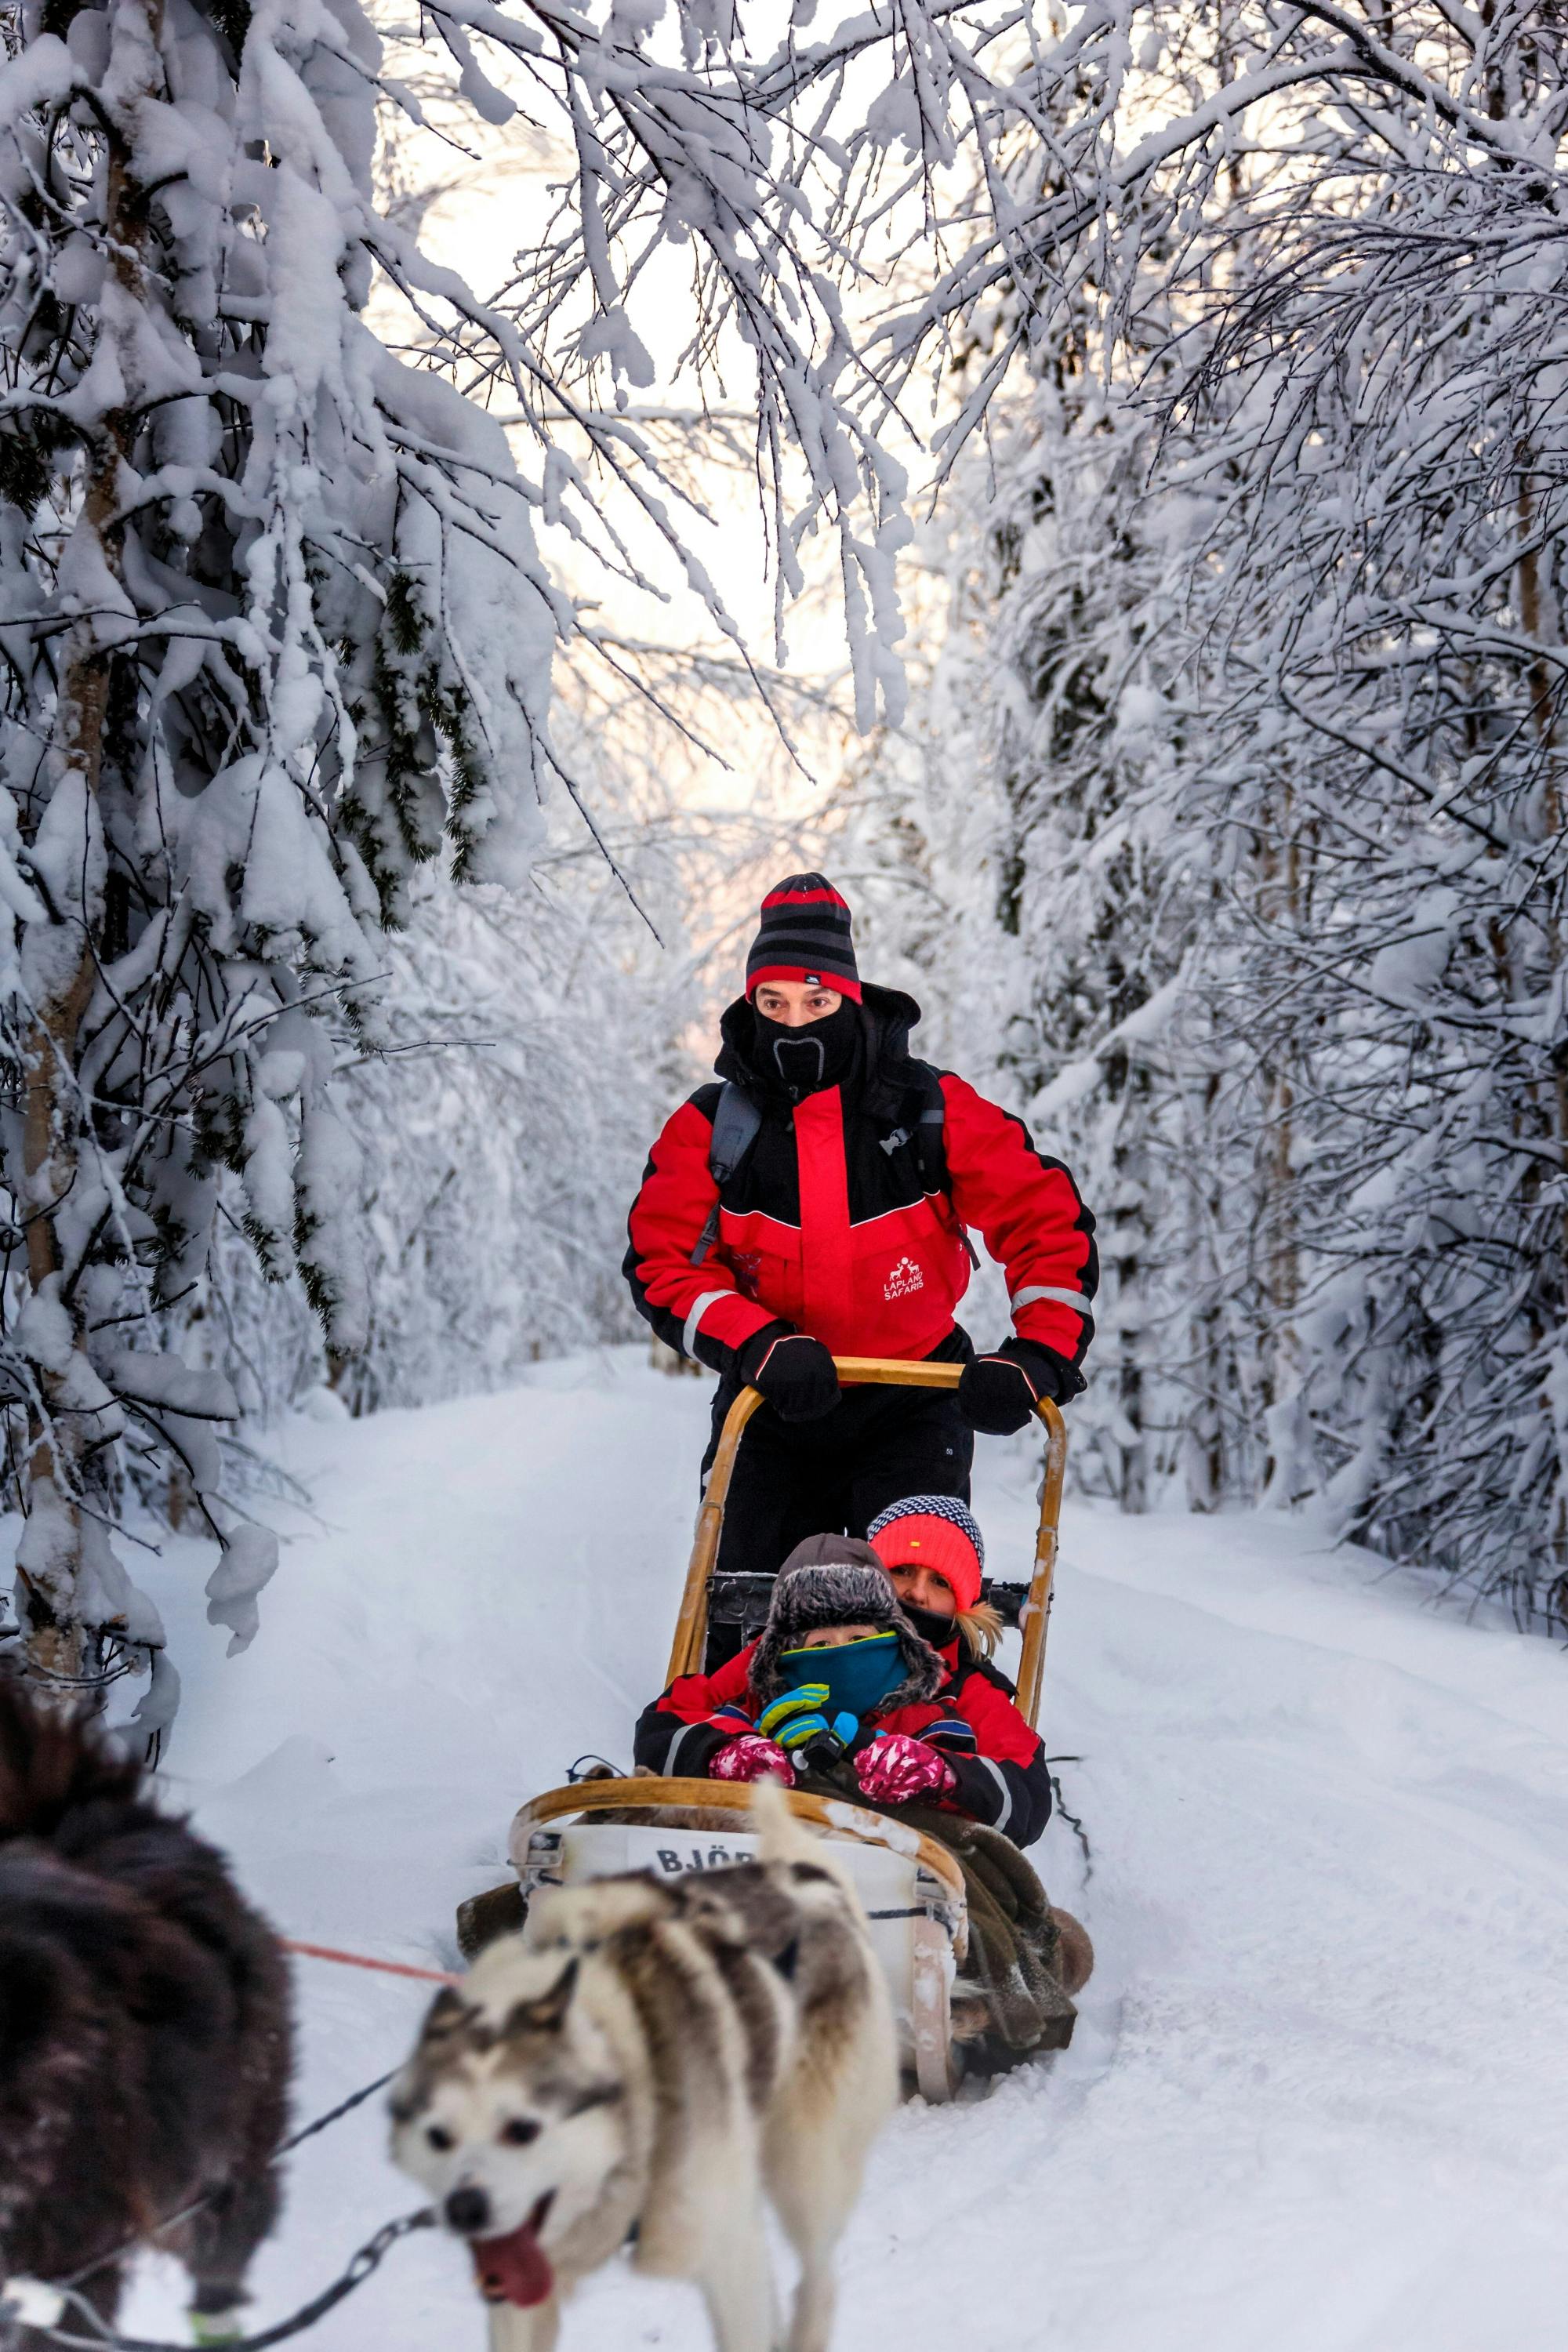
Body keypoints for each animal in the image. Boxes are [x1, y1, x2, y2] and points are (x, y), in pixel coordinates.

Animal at [394, 1778, 893, 2352]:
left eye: (523, 2128)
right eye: (438, 2136)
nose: (465, 2211)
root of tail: (812, 1880)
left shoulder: (724, 2249)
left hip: (806, 2167)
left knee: (818, 2280)